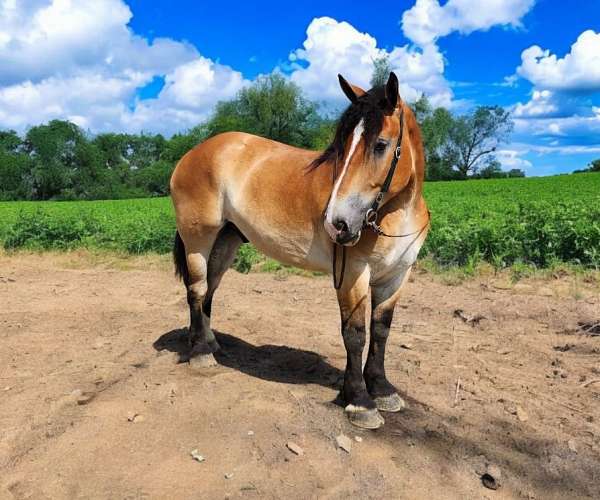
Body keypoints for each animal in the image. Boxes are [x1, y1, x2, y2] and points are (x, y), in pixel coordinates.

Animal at [171, 71, 428, 430]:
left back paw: (209, 343)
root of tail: (193, 154)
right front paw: (360, 401)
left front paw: (382, 389)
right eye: (342, 145)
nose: (337, 223)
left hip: (226, 241)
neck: (395, 211)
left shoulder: (397, 275)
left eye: (380, 144)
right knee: (196, 290)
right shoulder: (352, 274)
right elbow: (355, 334)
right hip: (198, 239)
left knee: (210, 290)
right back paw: (200, 355)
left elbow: (381, 330)